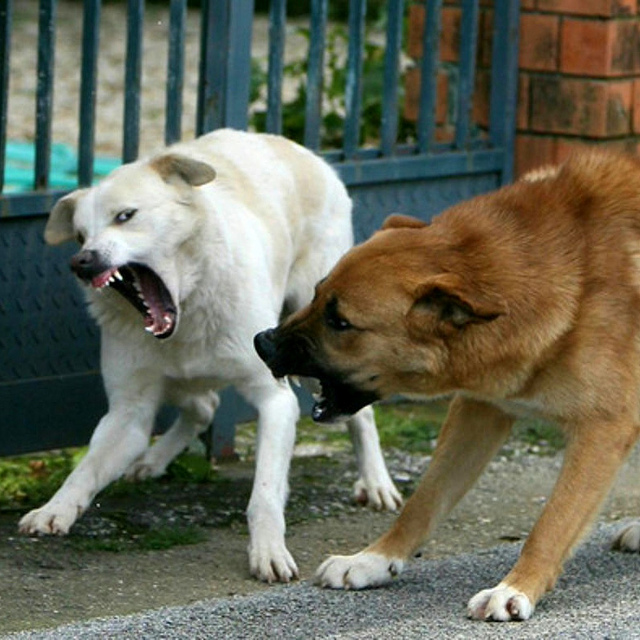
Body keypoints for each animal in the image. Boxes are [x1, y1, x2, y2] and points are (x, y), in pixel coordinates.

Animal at [18, 129, 400, 580]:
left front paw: (268, 550)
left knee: (360, 412)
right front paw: (55, 510)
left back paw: (376, 483)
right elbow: (86, 470)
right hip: (179, 382)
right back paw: (152, 460)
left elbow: (265, 493)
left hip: (312, 350)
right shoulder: (128, 414)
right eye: (80, 236)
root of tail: (295, 147)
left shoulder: (274, 400)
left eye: (126, 216)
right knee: (203, 405)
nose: (82, 262)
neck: (188, 307)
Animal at [254, 150, 640, 620]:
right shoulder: (480, 411)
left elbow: (553, 522)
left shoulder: (602, 429)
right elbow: (424, 500)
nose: (262, 343)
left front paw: (516, 588)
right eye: (315, 294)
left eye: (340, 321)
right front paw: (373, 560)